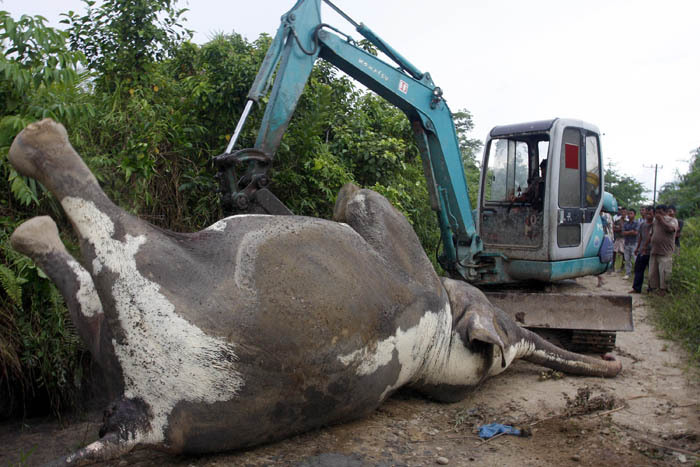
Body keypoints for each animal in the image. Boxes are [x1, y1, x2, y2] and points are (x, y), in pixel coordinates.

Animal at [8, 118, 620, 464]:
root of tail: (140, 416)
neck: (437, 350)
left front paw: (343, 190)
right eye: (500, 318)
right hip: (127, 332)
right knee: (87, 295)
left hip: (162, 291)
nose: (613, 370)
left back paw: (35, 158)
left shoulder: (407, 255)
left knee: (107, 234)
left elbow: (363, 198)